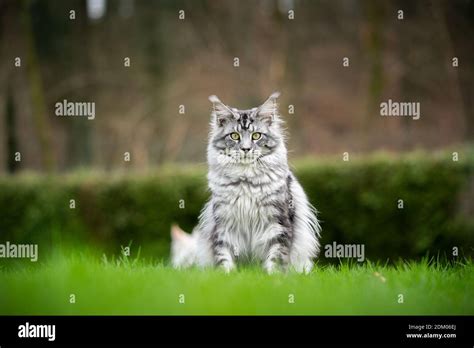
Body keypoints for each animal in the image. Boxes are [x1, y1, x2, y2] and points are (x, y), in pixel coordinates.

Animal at [168, 92, 320, 274]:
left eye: (256, 136)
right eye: (234, 136)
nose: (246, 149)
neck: (246, 181)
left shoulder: (278, 223)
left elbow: (275, 257)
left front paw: (272, 276)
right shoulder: (224, 224)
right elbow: (224, 255)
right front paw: (226, 274)